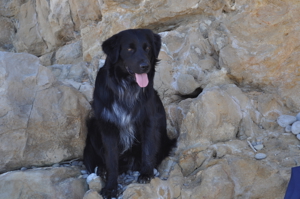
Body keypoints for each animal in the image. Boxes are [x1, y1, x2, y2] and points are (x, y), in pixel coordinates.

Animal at [82, 28, 176, 198]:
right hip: (93, 126)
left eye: (147, 48)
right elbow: (111, 160)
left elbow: (148, 150)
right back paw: (102, 170)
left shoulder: (149, 121)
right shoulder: (108, 126)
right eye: (129, 49)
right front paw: (110, 187)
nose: (145, 66)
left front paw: (146, 174)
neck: (127, 88)